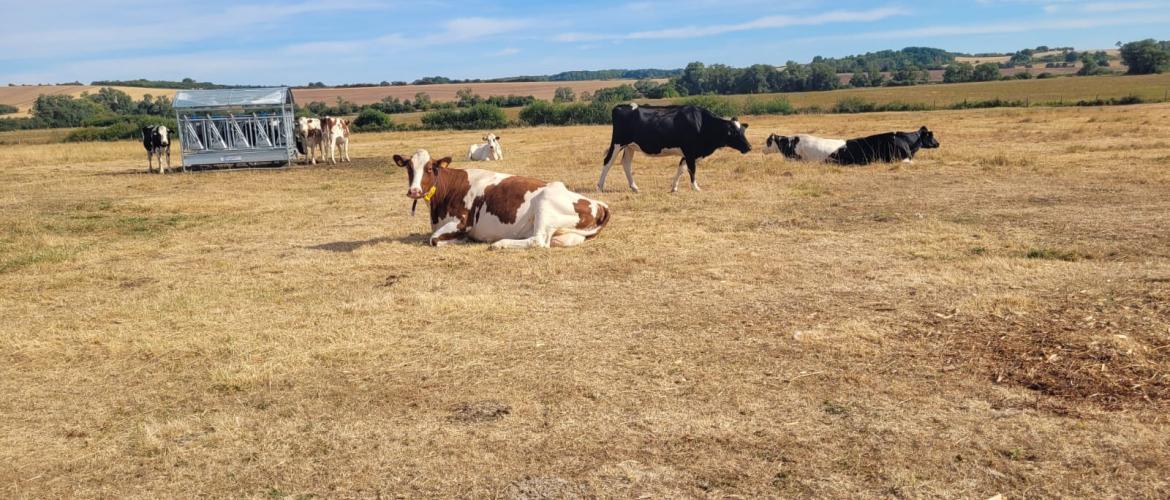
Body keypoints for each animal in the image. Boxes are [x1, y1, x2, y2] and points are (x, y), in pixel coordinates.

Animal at [395, 149, 613, 249]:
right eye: (409, 168)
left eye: (430, 168)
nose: (414, 191)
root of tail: (599, 204)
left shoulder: (462, 221)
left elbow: (433, 239)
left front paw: (458, 240)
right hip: (568, 234)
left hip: (544, 204)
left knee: (538, 241)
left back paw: (500, 243)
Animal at [599, 104, 753, 194]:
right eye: (734, 133)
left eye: (743, 131)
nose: (749, 147)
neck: (702, 124)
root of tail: (620, 106)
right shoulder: (690, 151)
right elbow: (692, 170)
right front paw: (696, 187)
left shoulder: (688, 153)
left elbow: (681, 168)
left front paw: (674, 187)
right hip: (618, 143)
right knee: (607, 162)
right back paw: (600, 186)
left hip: (630, 146)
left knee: (626, 163)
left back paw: (634, 187)